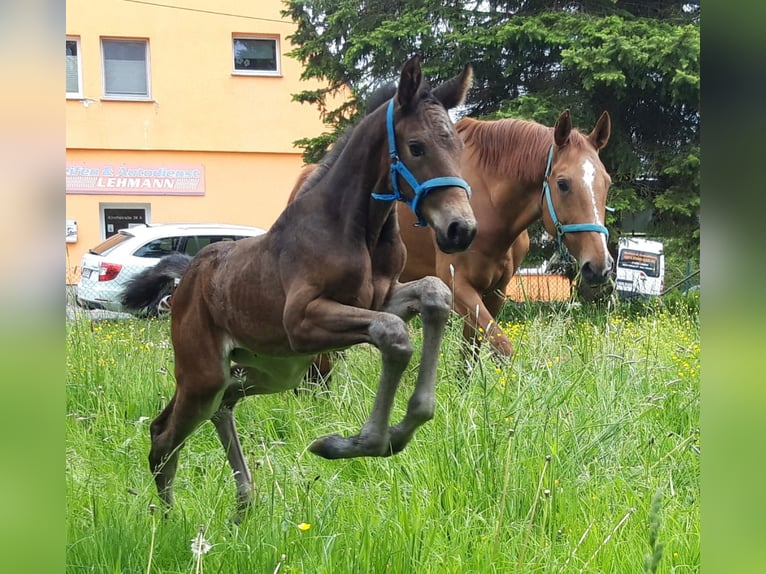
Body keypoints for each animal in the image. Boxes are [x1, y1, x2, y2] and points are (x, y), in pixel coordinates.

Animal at [121, 56, 474, 520]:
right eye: (416, 147)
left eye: (459, 147)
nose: (461, 228)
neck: (356, 229)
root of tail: (187, 277)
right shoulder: (301, 320)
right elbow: (394, 334)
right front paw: (358, 443)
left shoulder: (380, 298)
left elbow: (435, 293)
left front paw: (404, 426)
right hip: (205, 374)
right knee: (163, 434)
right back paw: (167, 521)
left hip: (266, 371)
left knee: (222, 408)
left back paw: (242, 507)